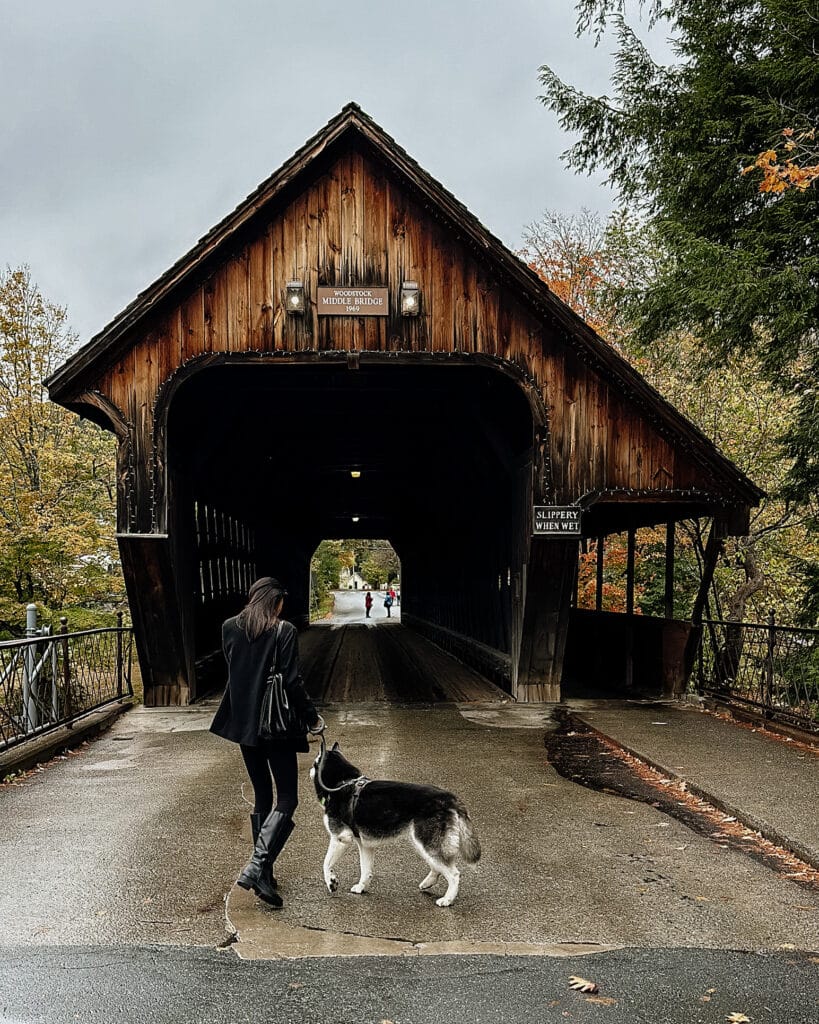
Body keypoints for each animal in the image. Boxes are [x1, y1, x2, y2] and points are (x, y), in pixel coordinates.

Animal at [311, 745, 479, 905]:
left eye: (314, 764)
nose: (310, 771)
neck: (342, 783)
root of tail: (450, 798)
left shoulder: (340, 838)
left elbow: (326, 864)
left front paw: (331, 882)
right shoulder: (365, 845)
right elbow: (366, 870)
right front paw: (361, 887)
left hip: (426, 842)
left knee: (453, 874)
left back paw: (447, 899)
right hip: (421, 843)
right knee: (437, 867)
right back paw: (428, 883)